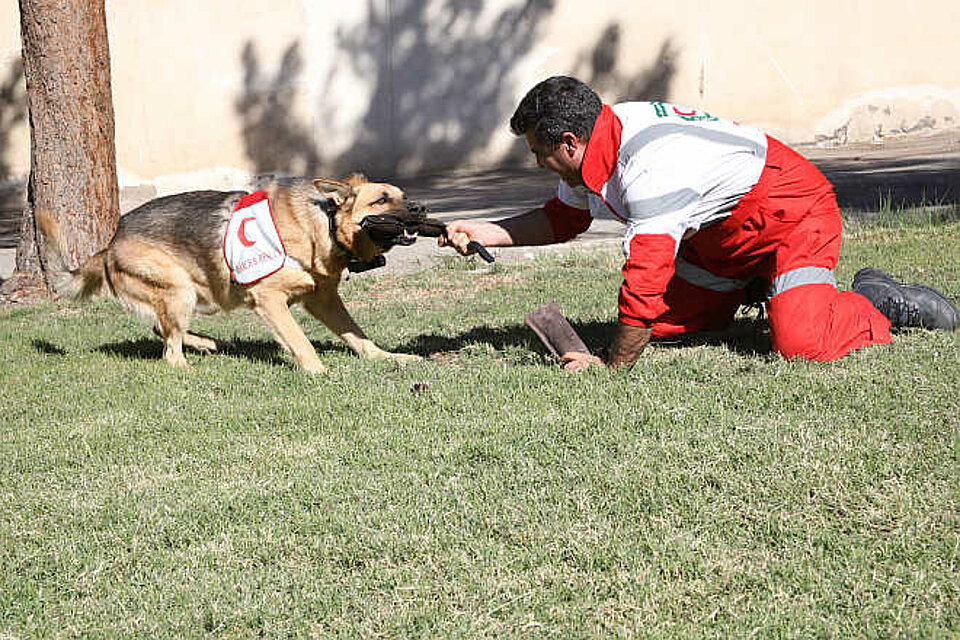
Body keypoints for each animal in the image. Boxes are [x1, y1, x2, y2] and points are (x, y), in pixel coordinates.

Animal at [39, 176, 426, 376]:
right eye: (381, 200)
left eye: (404, 196)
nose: (422, 208)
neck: (323, 224)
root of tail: (109, 244)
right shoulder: (269, 300)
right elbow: (300, 341)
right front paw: (318, 372)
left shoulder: (324, 300)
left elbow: (359, 337)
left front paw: (389, 358)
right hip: (180, 291)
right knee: (169, 352)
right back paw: (190, 366)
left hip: (192, 294)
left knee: (160, 331)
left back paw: (209, 343)